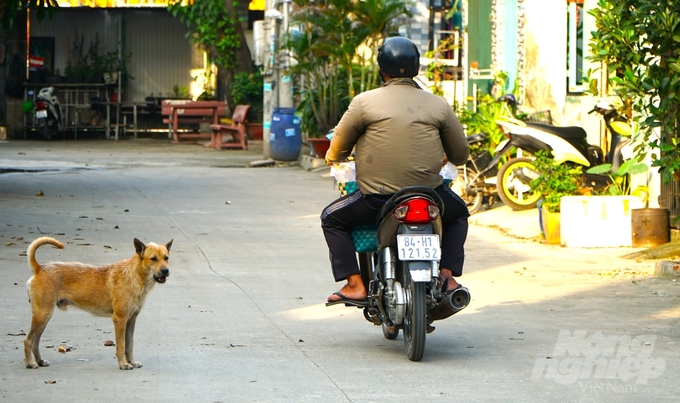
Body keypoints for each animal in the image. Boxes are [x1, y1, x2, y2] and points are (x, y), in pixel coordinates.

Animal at [23, 237, 173, 372]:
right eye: (153, 259)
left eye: (166, 257)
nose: (166, 271)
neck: (133, 275)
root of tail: (40, 268)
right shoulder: (120, 320)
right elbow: (121, 346)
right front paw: (123, 364)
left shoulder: (131, 320)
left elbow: (129, 345)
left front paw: (132, 362)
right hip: (42, 316)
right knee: (28, 341)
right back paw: (30, 363)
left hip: (44, 318)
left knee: (35, 342)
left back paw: (40, 361)